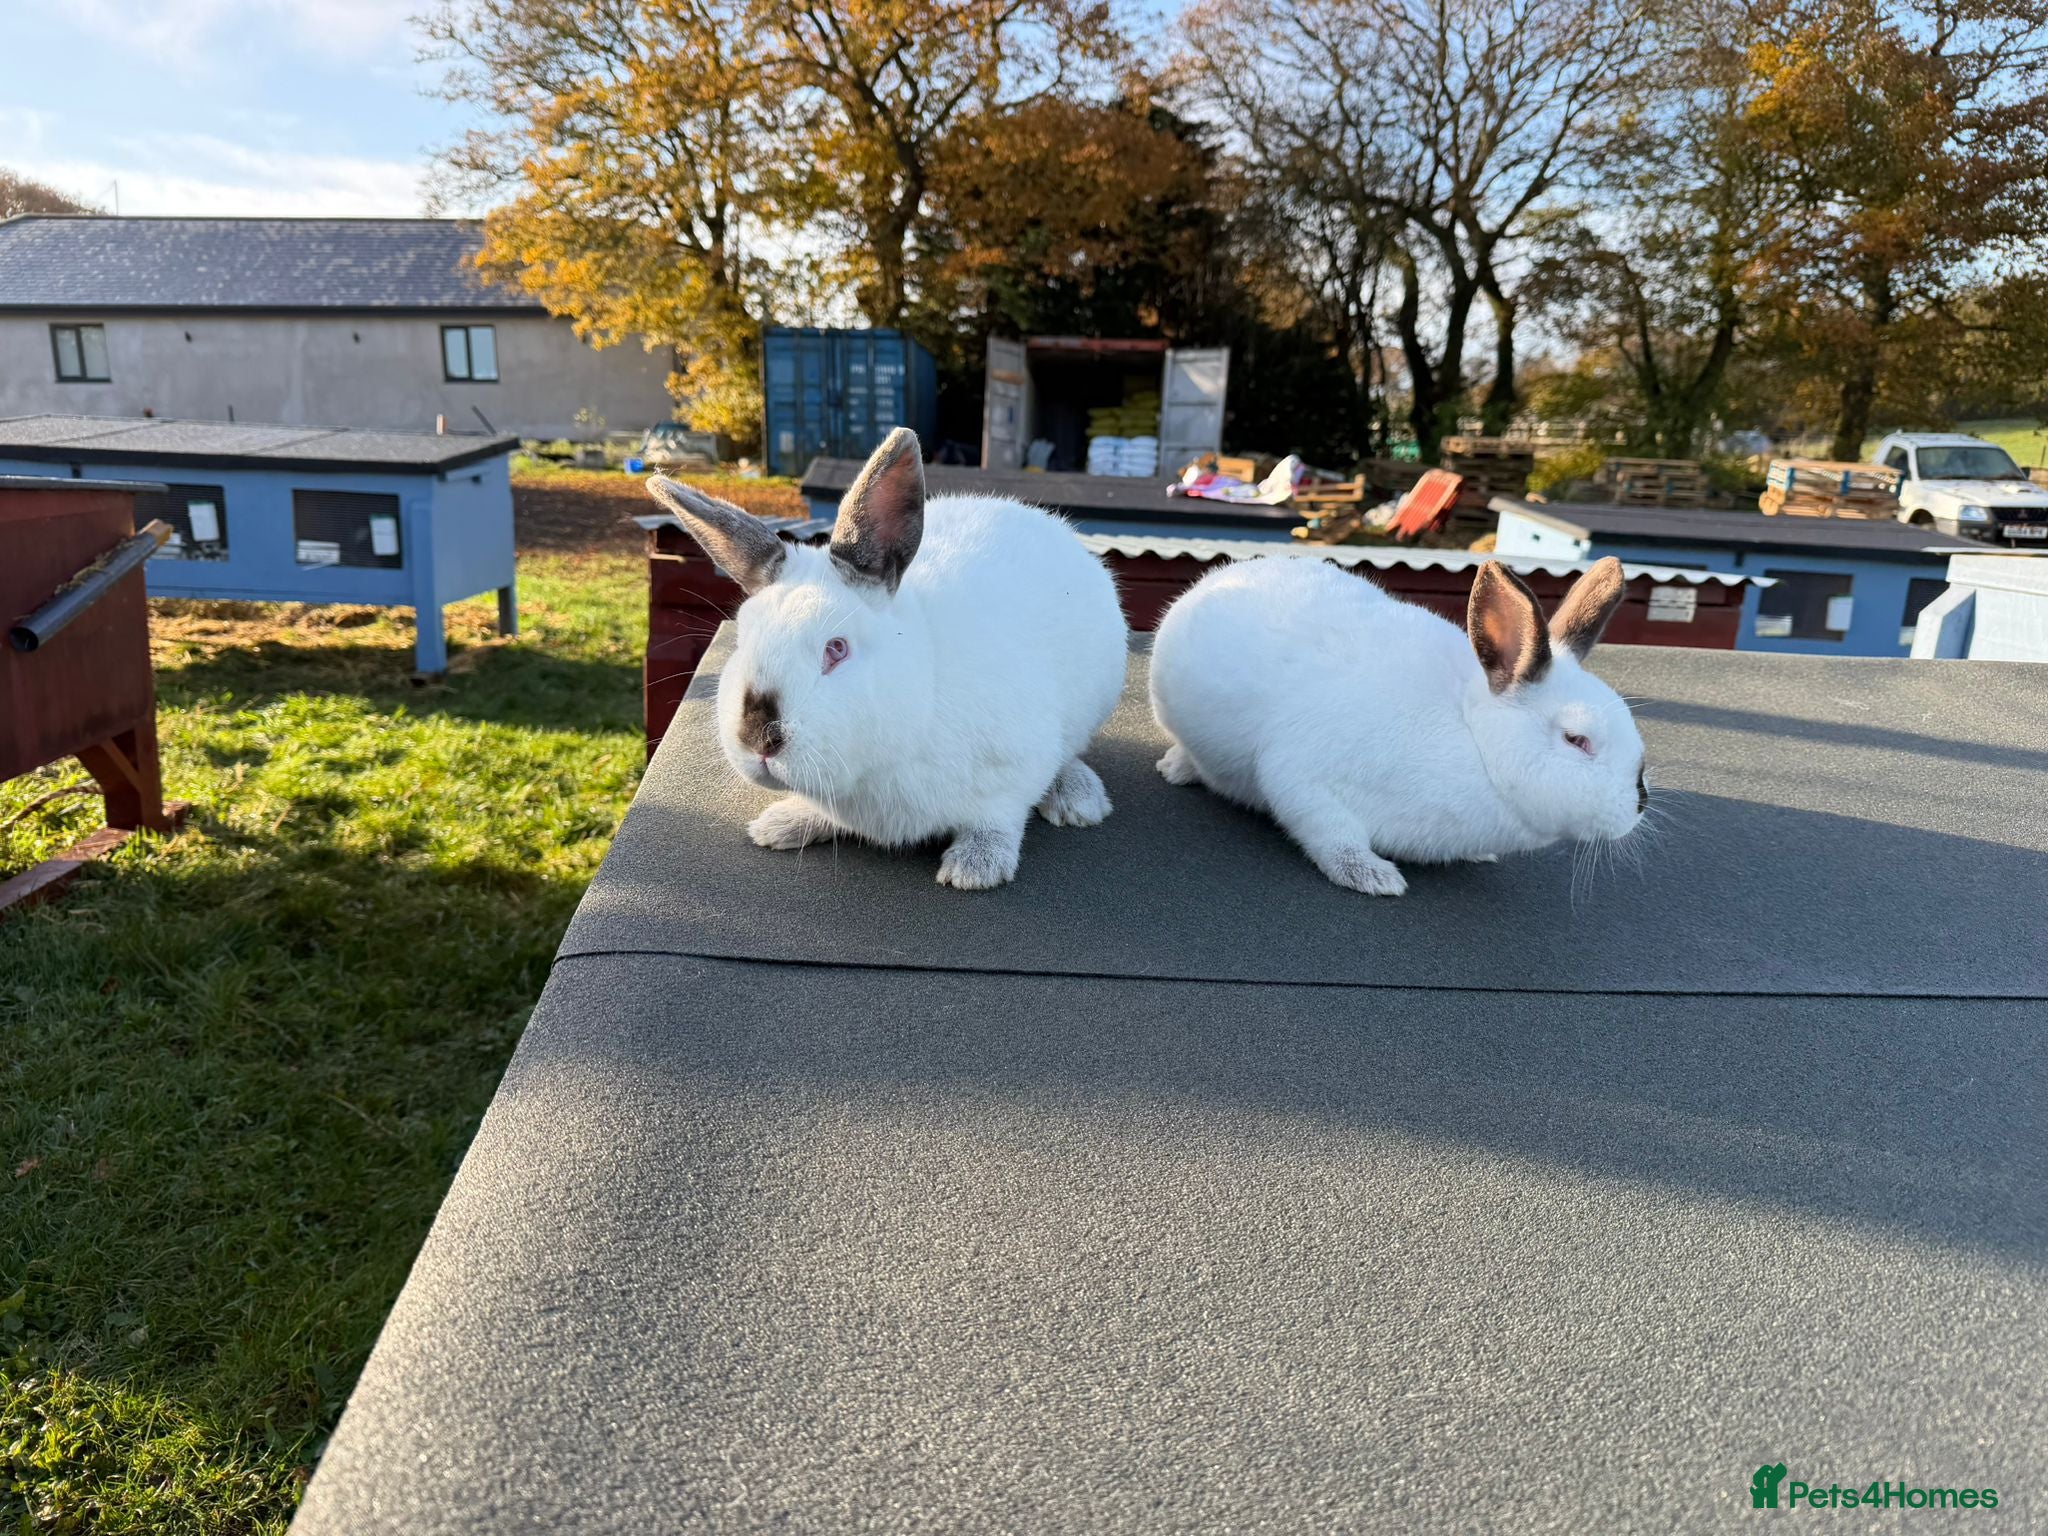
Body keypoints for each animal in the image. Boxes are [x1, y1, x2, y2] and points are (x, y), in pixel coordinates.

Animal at [646, 427, 1127, 890]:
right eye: (743, 637)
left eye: (837, 648)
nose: (757, 739)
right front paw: (783, 824)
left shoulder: (1015, 770)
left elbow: (998, 819)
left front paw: (975, 868)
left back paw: (1078, 799)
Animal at [1148, 553, 1646, 896]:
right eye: (1576, 739)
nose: (1638, 805)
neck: (1473, 737)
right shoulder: (1302, 777)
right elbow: (1330, 833)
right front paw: (1373, 877)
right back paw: (1177, 769)